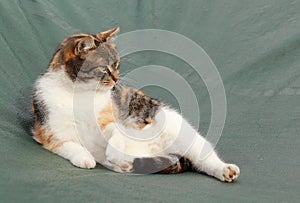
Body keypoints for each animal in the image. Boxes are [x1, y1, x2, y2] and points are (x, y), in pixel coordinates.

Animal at [32, 27, 239, 182]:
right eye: (104, 68)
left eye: (117, 65)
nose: (117, 79)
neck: (80, 95)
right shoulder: (51, 133)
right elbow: (71, 146)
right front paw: (85, 158)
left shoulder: (111, 120)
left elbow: (116, 131)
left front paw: (113, 151)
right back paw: (126, 163)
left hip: (185, 135)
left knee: (205, 158)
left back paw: (226, 170)